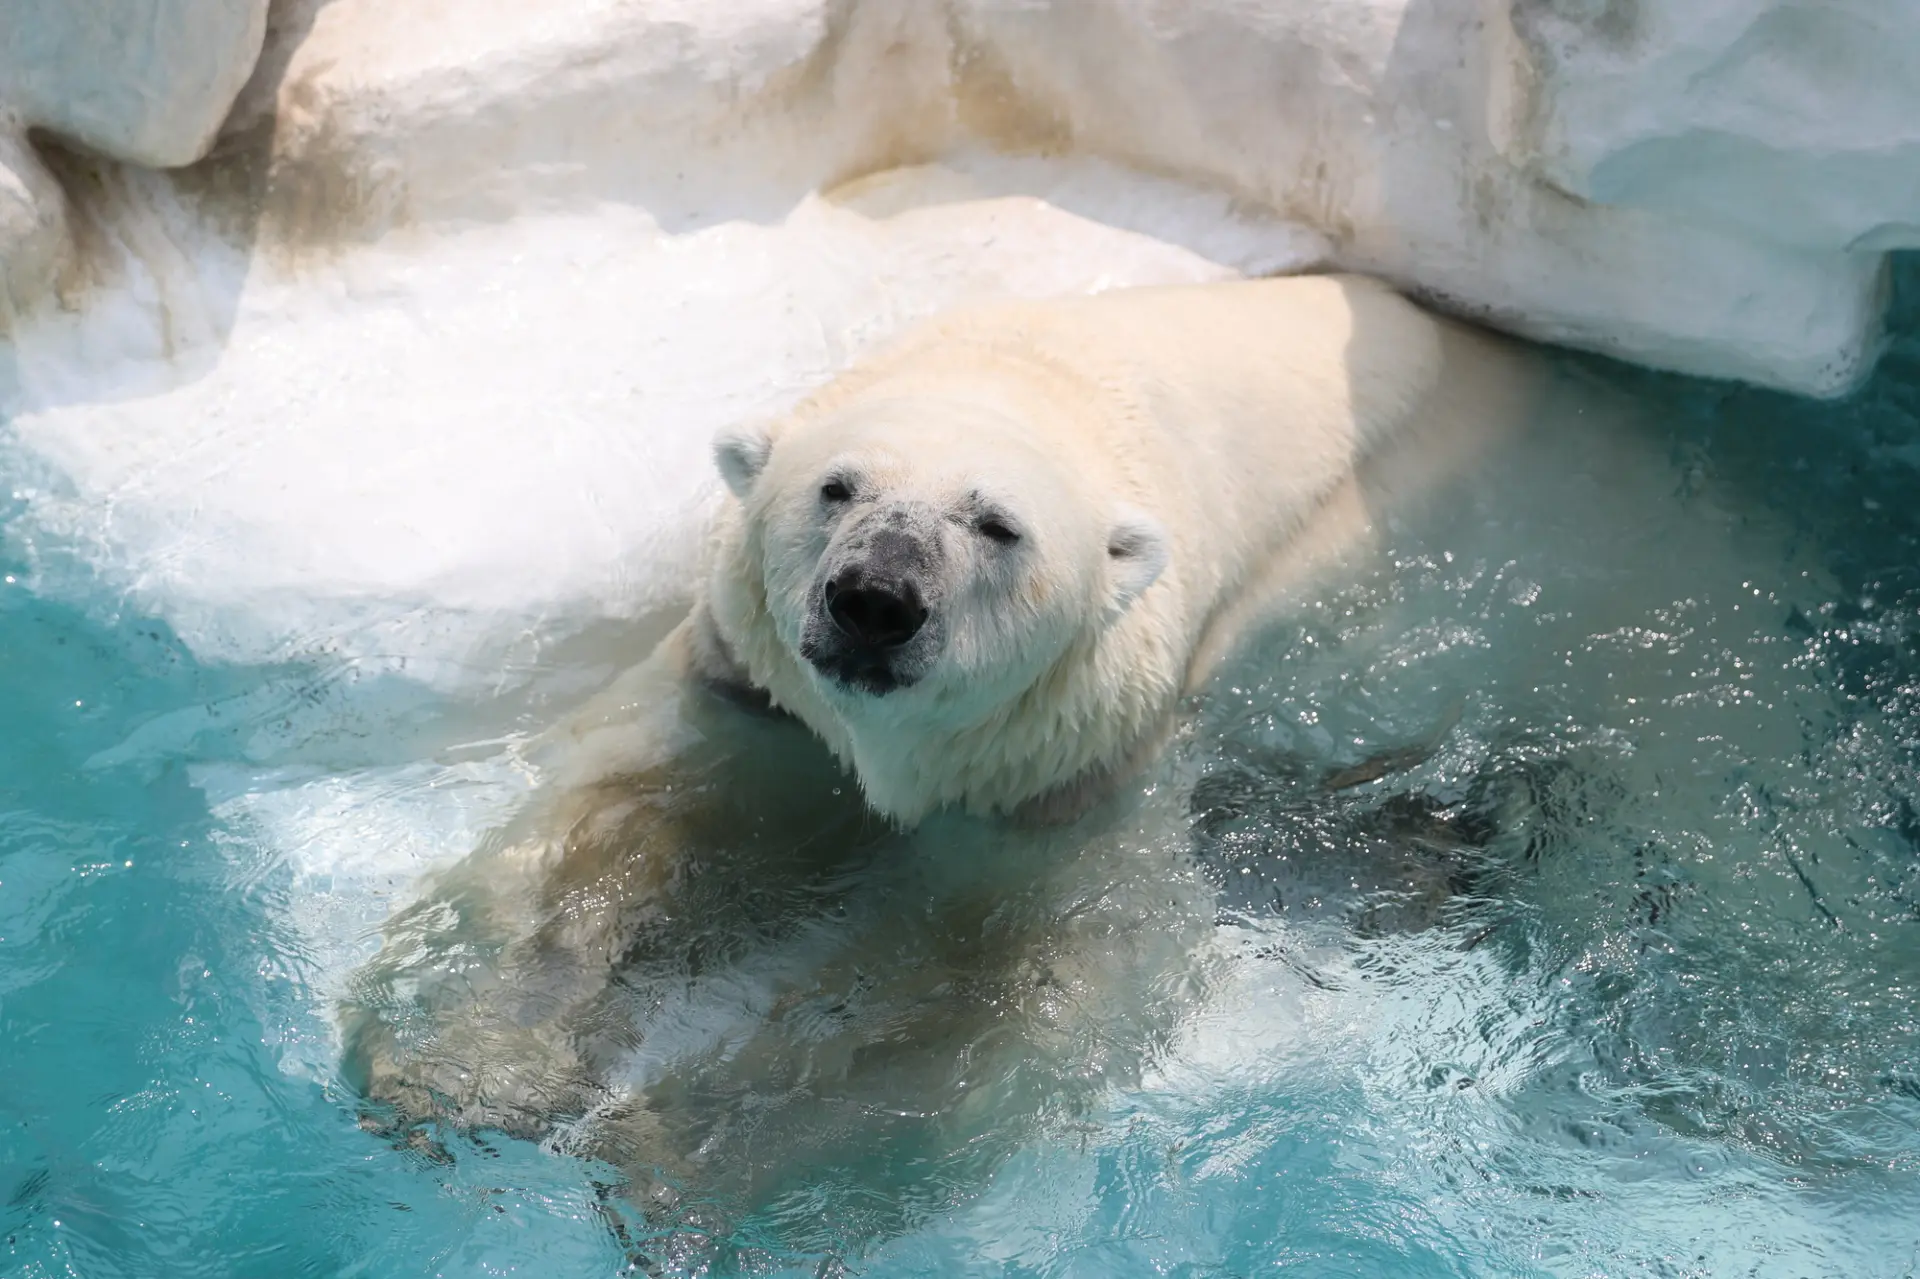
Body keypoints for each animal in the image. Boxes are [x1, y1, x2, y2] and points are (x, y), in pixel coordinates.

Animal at [339, 273, 1534, 1259]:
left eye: (996, 524)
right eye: (836, 487)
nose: (875, 599)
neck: (1030, 372)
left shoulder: (1072, 775)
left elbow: (993, 1015)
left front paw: (685, 1153)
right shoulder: (751, 700)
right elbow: (600, 835)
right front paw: (466, 1064)